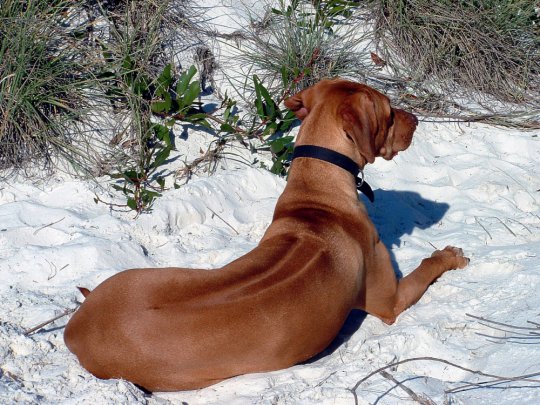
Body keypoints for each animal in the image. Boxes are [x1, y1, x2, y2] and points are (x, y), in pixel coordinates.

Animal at [63, 78, 468, 392]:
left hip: (139, 277)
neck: (317, 189)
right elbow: (426, 267)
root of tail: (76, 329)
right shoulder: (391, 301)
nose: (416, 119)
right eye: (389, 112)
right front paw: (449, 256)